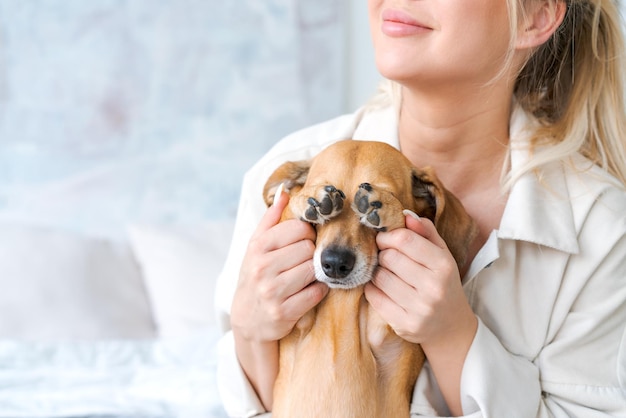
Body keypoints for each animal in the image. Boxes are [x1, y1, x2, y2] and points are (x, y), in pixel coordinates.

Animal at [262, 140, 472, 418]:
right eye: (325, 187)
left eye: (389, 192)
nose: (335, 264)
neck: (342, 303)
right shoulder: (298, 321)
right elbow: (287, 208)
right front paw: (310, 199)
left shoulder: (385, 328)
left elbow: (404, 217)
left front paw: (384, 207)